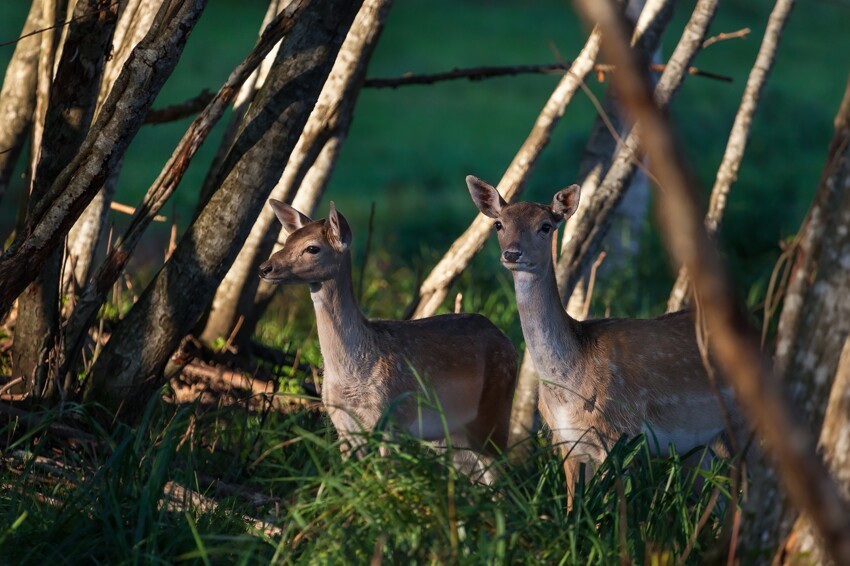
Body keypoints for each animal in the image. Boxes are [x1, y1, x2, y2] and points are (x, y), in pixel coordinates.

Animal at [255, 200, 516, 484]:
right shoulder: (340, 421)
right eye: (287, 240)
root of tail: (509, 341)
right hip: (452, 434)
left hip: (494, 411)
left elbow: (386, 475)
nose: (264, 267)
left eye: (312, 248)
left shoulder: (390, 417)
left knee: (502, 474)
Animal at [464, 176, 744, 502]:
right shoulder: (565, 442)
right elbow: (572, 506)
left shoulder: (618, 434)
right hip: (703, 444)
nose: (512, 254)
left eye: (546, 226)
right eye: (499, 224)